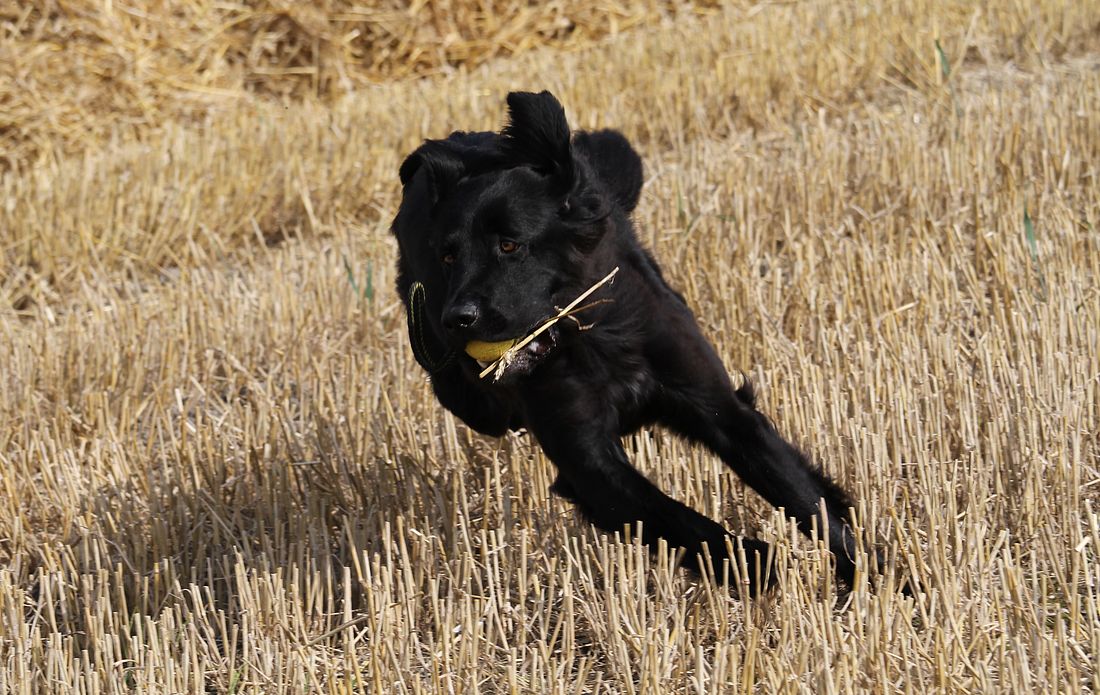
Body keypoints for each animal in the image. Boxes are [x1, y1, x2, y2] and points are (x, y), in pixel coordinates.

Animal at [391, 91, 876, 594]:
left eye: (509, 245)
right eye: (448, 257)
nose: (455, 320)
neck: (597, 338)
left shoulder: (720, 409)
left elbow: (806, 500)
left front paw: (880, 579)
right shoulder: (589, 463)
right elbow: (686, 523)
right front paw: (759, 561)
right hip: (468, 399)